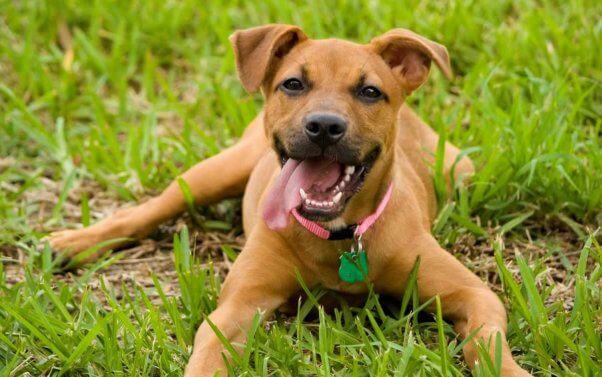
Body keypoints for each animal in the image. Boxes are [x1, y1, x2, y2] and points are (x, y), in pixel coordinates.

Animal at [50, 25, 528, 374]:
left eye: (370, 92)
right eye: (293, 84)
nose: (325, 126)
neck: (338, 238)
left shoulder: (473, 292)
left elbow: (488, 341)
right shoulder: (239, 307)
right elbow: (208, 353)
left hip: (461, 171)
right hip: (216, 171)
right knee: (153, 208)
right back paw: (75, 243)